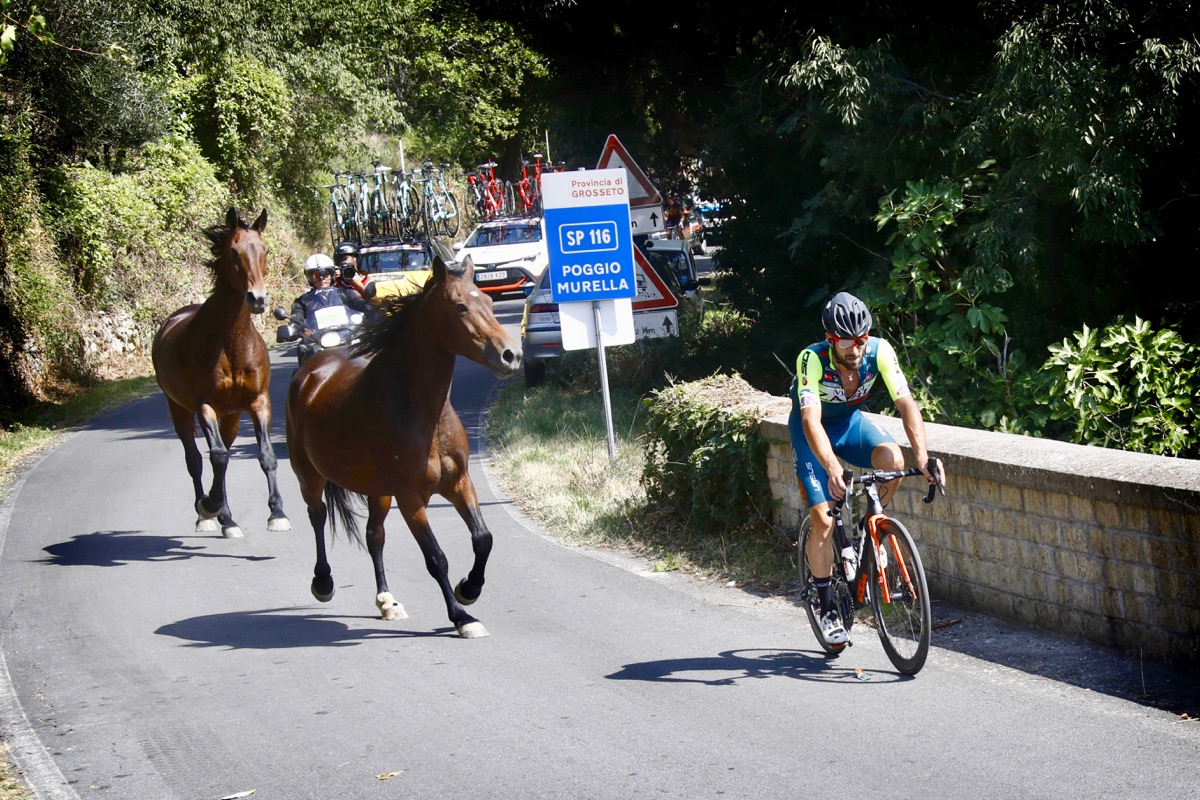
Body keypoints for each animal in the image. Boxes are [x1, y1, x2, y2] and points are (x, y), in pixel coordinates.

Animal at [152, 209, 290, 542]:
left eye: (265, 250)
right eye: (232, 252)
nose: (258, 299)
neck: (230, 343)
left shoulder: (258, 402)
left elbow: (266, 456)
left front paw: (277, 514)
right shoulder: (205, 406)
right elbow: (217, 458)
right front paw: (209, 507)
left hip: (231, 416)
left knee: (223, 453)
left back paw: (227, 518)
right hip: (180, 409)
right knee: (196, 459)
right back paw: (212, 515)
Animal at [288, 250, 523, 638]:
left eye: (489, 302)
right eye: (460, 306)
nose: (510, 355)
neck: (420, 411)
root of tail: (311, 370)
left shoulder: (459, 484)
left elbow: (483, 538)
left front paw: (469, 589)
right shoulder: (412, 500)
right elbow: (436, 559)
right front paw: (462, 617)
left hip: (378, 491)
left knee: (374, 535)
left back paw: (387, 601)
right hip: (309, 475)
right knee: (318, 516)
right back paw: (323, 584)